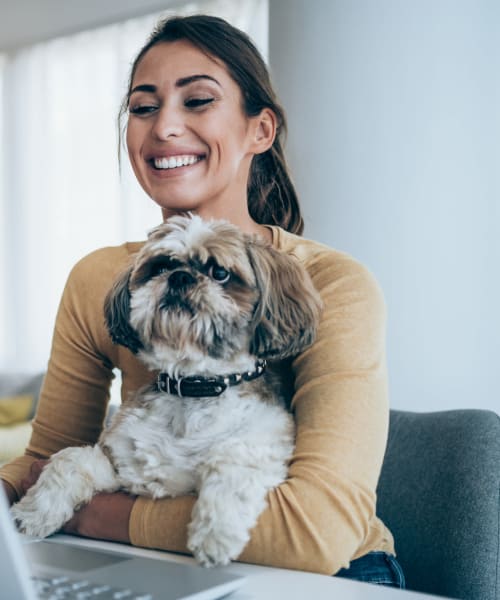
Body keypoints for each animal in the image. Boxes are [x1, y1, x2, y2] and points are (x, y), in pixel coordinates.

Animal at [12, 214, 324, 568]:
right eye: (161, 266)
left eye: (220, 273)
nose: (179, 276)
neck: (193, 388)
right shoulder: (123, 467)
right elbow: (70, 460)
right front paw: (34, 512)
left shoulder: (263, 444)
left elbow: (232, 463)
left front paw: (216, 535)